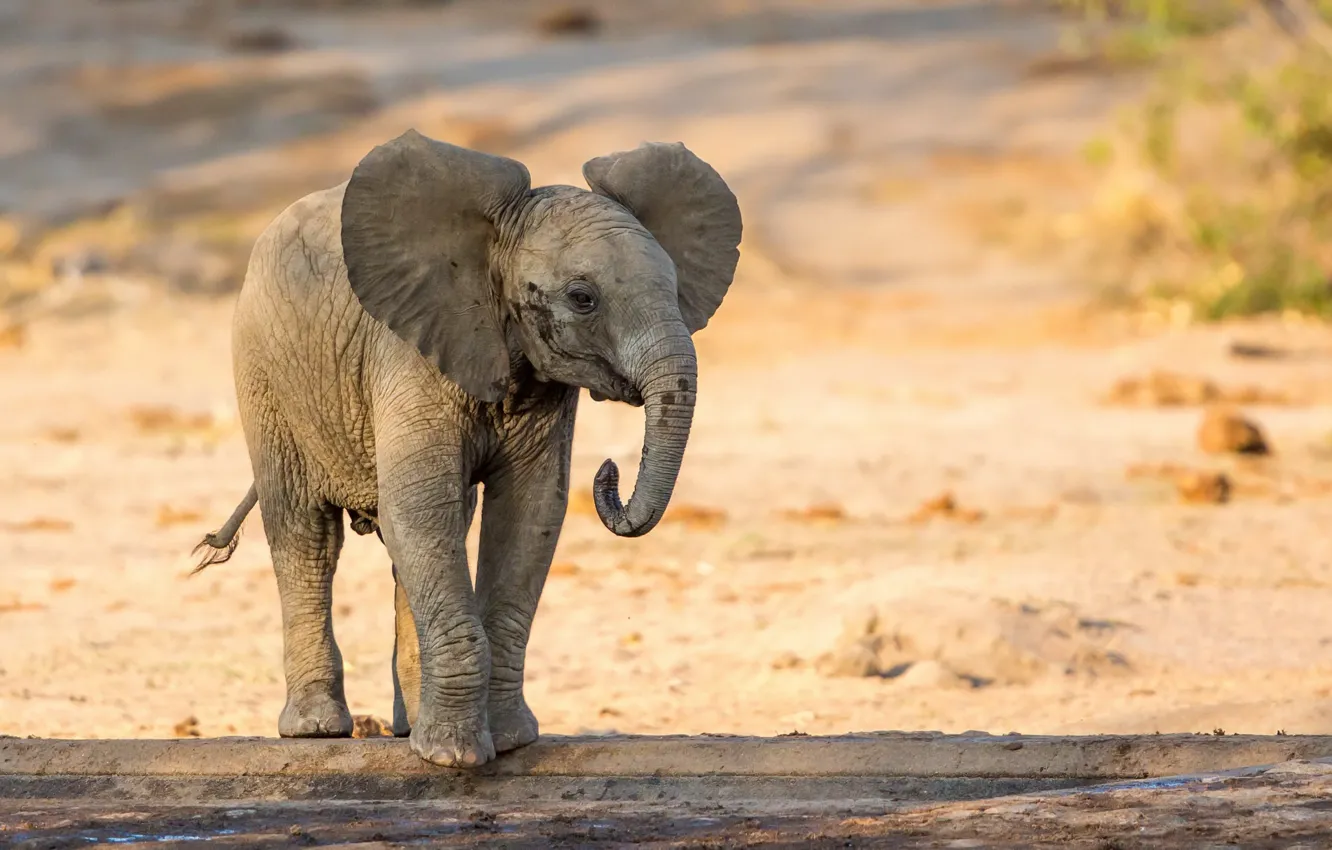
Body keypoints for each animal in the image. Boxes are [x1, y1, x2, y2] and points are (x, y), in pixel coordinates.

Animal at [192, 129, 742, 768]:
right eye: (583, 298)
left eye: (676, 290)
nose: (608, 473)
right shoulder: (410, 355)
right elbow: (421, 510)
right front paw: (454, 758)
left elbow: (528, 515)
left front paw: (506, 742)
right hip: (264, 371)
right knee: (306, 533)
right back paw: (316, 729)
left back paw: (406, 728)